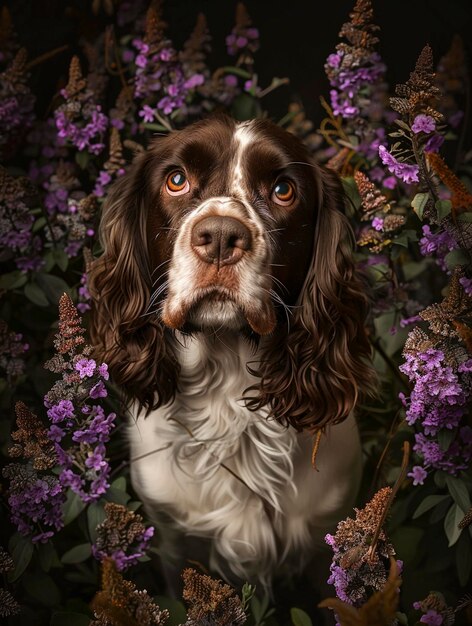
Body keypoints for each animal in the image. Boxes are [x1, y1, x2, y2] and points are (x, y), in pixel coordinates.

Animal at [89, 113, 372, 588]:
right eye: (177, 180)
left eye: (283, 190)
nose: (221, 236)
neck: (226, 391)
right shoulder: (174, 542)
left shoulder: (326, 537)